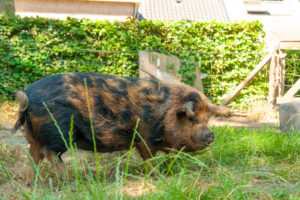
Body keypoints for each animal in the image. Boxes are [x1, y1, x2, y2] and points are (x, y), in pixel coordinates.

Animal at [11, 72, 227, 184]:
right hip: (57, 133)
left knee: (33, 155)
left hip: (33, 136)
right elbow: (148, 157)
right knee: (50, 154)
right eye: (192, 119)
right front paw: (155, 176)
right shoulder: (143, 137)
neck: (164, 114)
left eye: (207, 119)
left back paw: (31, 183)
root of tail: (27, 95)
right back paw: (71, 179)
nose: (211, 135)